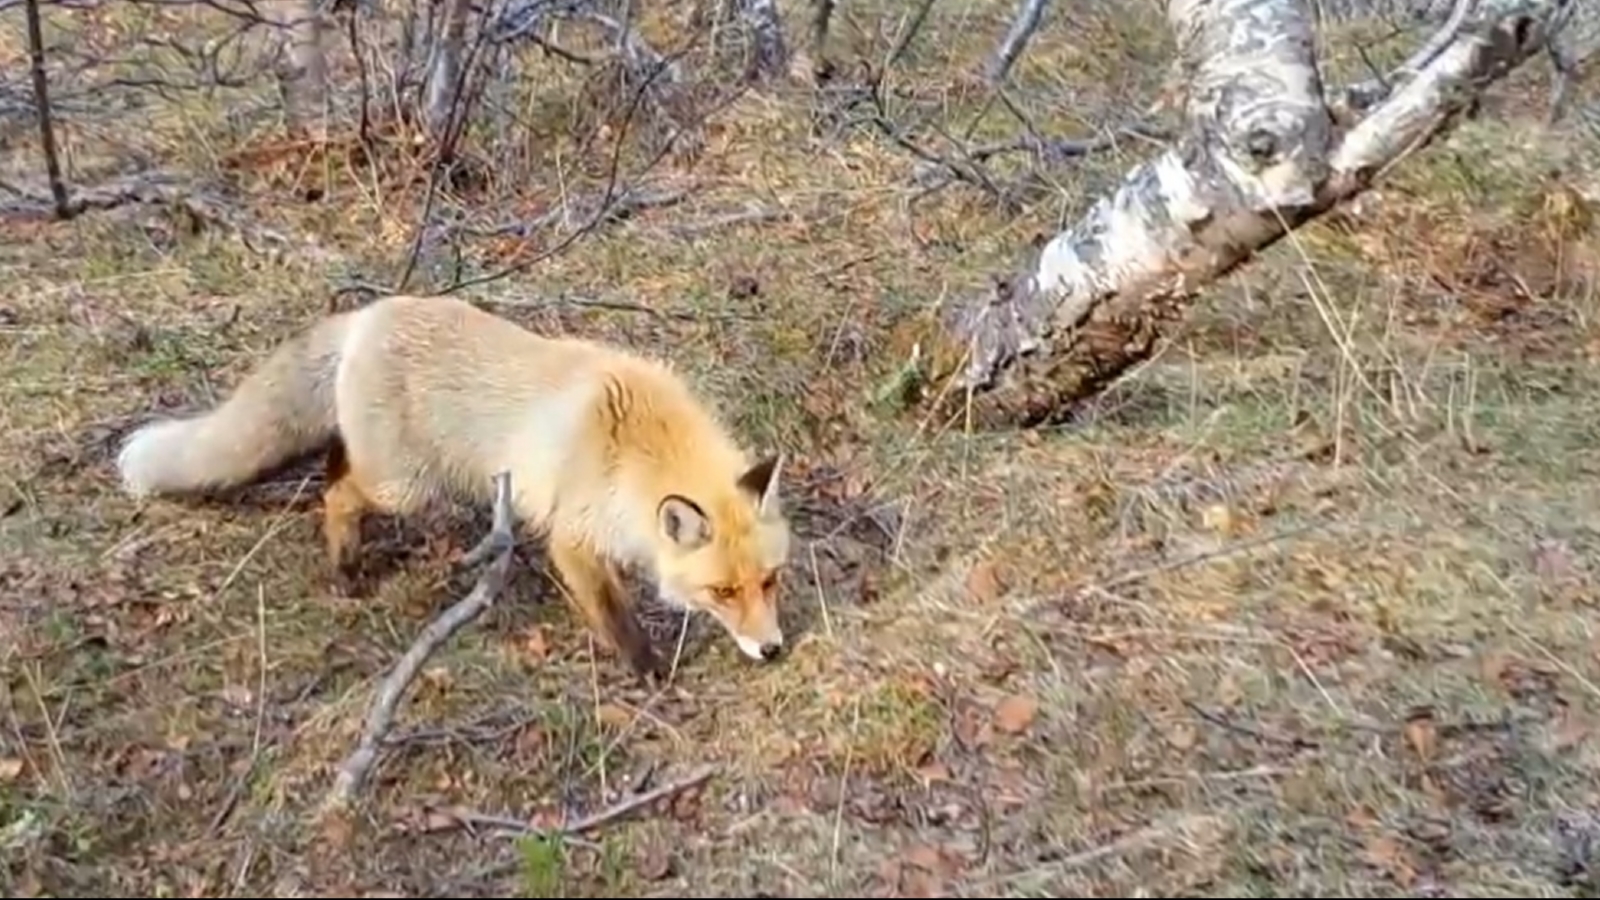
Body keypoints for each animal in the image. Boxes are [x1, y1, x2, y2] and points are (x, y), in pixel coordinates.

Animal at [114, 294, 793, 679]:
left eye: (769, 581)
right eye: (722, 591)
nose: (773, 650)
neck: (637, 446)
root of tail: (365, 315)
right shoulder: (570, 537)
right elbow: (613, 614)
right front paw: (648, 669)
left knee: (335, 463)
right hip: (405, 486)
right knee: (337, 492)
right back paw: (345, 566)